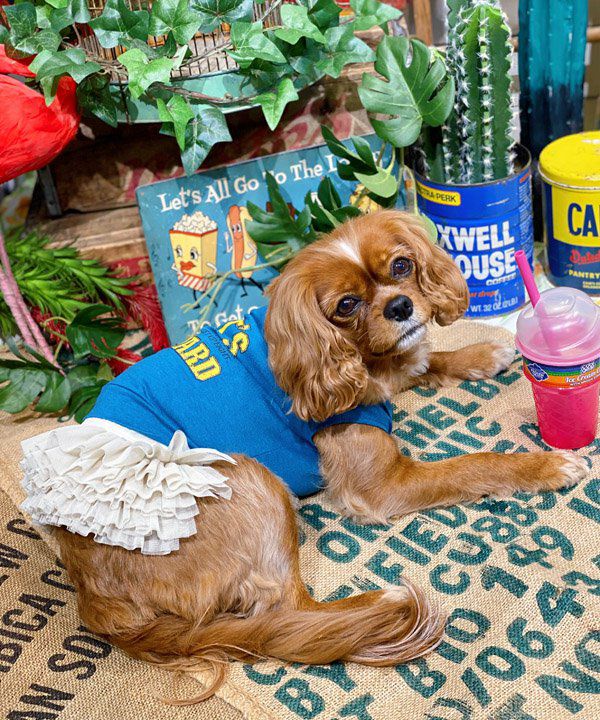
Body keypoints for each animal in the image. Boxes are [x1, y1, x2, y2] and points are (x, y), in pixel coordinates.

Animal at [23, 210, 587, 699]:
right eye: (346, 306)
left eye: (401, 267)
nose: (401, 307)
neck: (343, 356)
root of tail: (98, 604)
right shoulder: (382, 486)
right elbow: (473, 464)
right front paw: (544, 464)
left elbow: (420, 360)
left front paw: (480, 352)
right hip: (248, 477)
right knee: (286, 613)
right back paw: (374, 604)